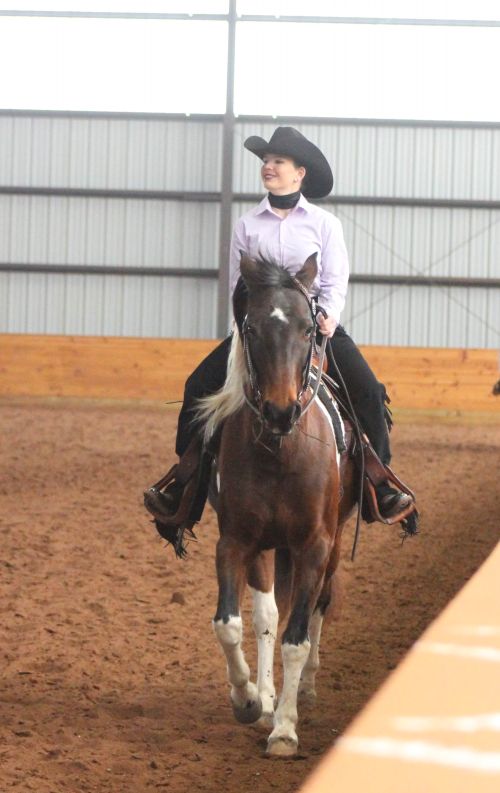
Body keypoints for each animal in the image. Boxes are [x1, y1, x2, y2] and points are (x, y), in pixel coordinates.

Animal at [197, 254, 358, 756]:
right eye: (250, 327)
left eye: (309, 327)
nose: (280, 411)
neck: (280, 451)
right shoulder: (235, 541)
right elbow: (232, 624)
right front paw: (250, 700)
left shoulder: (313, 546)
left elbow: (297, 638)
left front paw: (286, 729)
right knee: (267, 615)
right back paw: (268, 696)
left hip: (333, 541)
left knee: (320, 604)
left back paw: (304, 687)